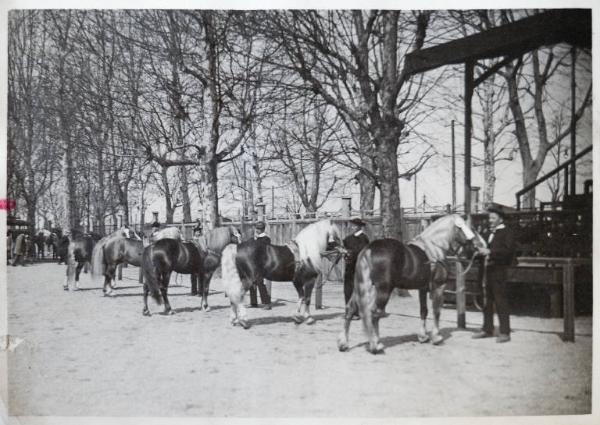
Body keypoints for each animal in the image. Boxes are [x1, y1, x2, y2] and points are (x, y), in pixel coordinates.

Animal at [338, 214, 488, 352]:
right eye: (472, 228)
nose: (484, 248)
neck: (434, 247)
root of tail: (369, 249)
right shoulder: (438, 287)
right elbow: (436, 311)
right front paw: (436, 337)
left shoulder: (422, 288)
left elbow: (424, 311)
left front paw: (423, 336)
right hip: (383, 290)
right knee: (375, 313)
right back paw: (376, 344)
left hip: (359, 288)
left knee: (350, 309)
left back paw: (344, 344)